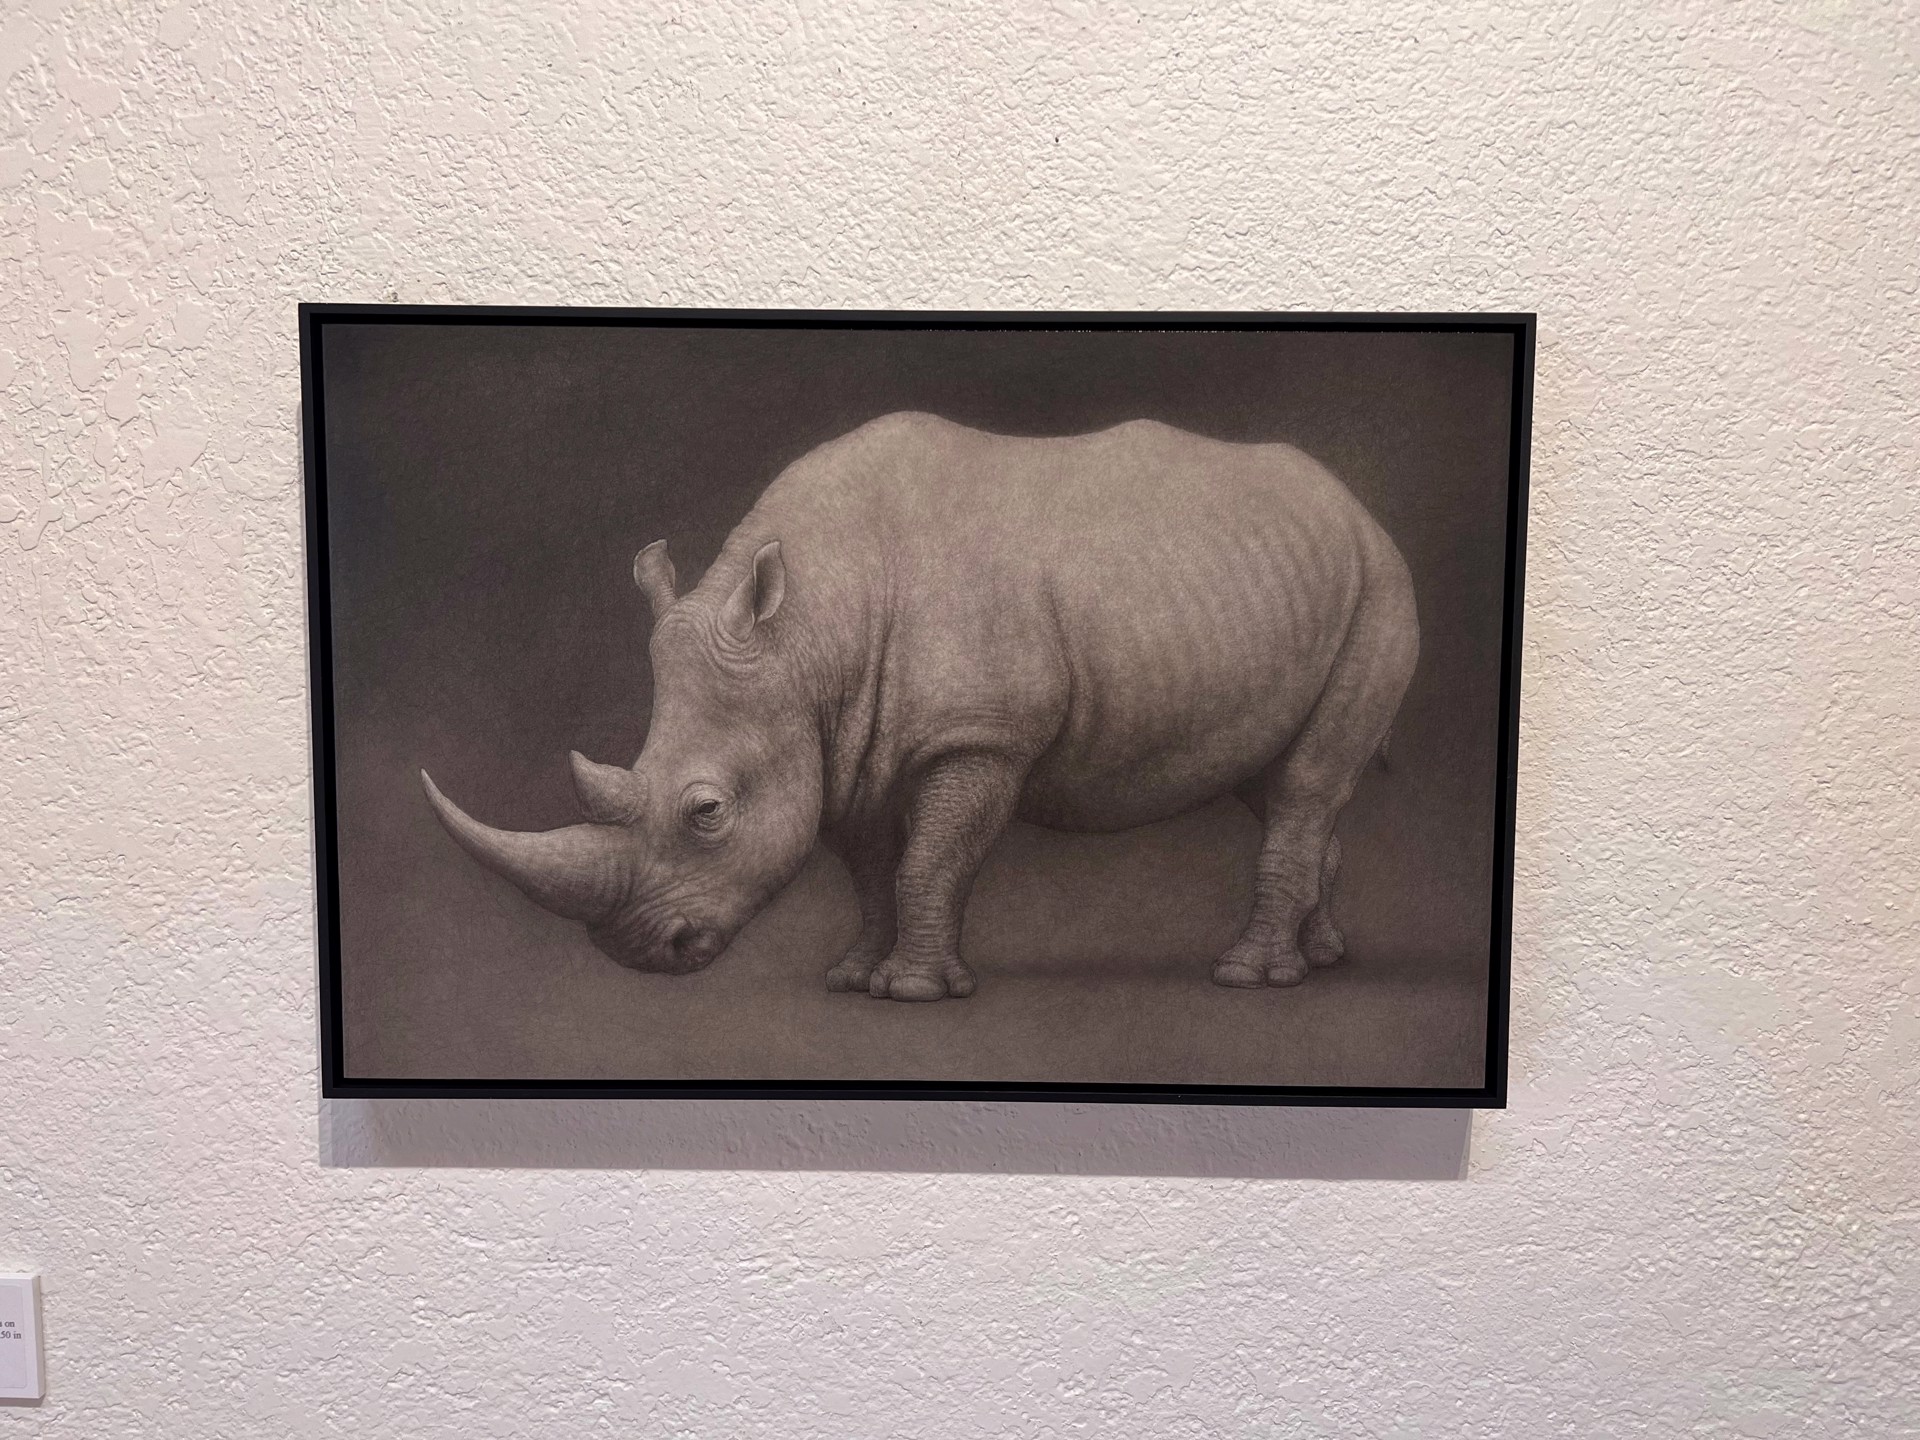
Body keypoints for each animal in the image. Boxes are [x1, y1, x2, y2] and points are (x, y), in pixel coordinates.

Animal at [422, 412, 1418, 1001]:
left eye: (707, 811)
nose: (635, 953)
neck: (808, 630)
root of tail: (1356, 506)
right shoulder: (838, 743)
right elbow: (869, 870)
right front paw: (852, 977)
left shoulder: (981, 736)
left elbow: (929, 862)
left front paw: (912, 992)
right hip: (1283, 587)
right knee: (1281, 781)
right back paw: (1321, 961)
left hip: (1380, 585)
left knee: (1304, 784)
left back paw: (1249, 976)